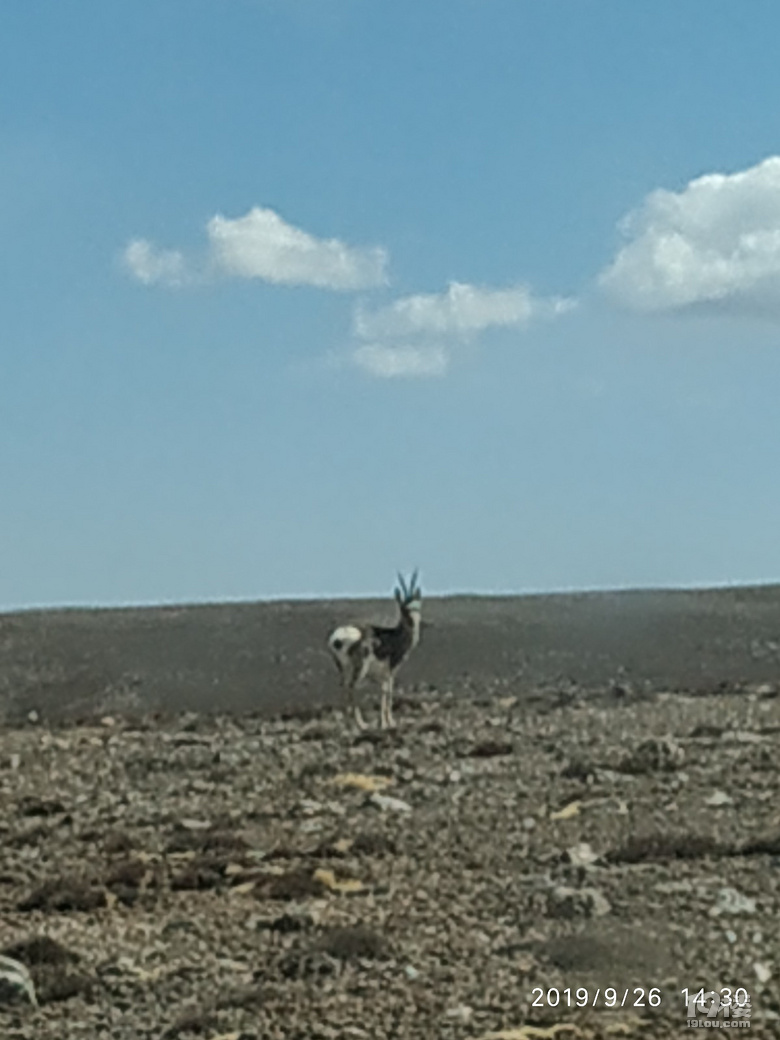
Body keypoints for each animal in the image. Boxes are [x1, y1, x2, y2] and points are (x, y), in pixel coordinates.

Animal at [330, 569, 428, 732]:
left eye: (417, 606)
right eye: (404, 609)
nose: (413, 626)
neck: (395, 636)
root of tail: (337, 637)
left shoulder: (381, 675)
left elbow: (383, 693)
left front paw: (385, 722)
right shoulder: (390, 671)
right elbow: (388, 694)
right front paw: (389, 723)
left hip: (343, 669)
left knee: (343, 687)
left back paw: (348, 724)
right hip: (360, 668)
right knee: (351, 686)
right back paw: (361, 724)